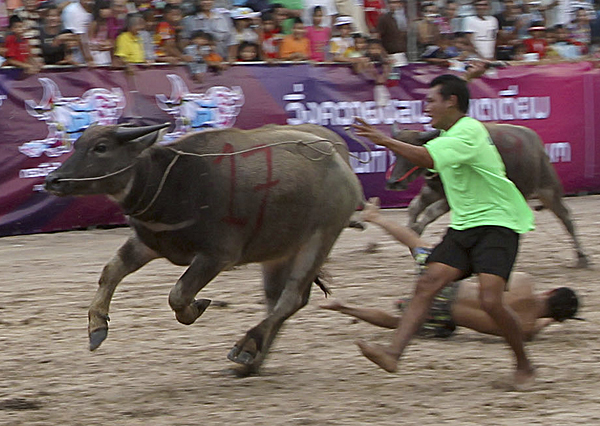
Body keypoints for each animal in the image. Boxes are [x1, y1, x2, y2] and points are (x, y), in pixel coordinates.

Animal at [44, 121, 364, 372]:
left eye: (101, 147)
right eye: (78, 144)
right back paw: (252, 363)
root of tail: (341, 163)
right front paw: (97, 327)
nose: (52, 180)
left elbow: (178, 295)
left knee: (291, 298)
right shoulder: (149, 243)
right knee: (278, 299)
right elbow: (110, 272)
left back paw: (247, 347)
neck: (171, 182)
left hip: (320, 239)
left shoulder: (217, 256)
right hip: (279, 251)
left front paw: (196, 307)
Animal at [386, 123, 588, 266]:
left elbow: (428, 214)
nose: (393, 182)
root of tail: (538, 147)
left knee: (566, 217)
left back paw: (582, 257)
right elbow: (414, 208)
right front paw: (411, 235)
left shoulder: (450, 199)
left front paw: (416, 237)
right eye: (395, 153)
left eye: (411, 152)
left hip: (548, 189)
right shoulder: (433, 191)